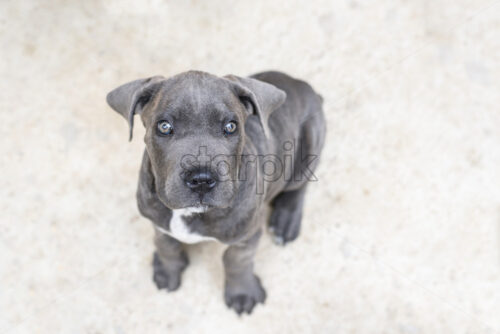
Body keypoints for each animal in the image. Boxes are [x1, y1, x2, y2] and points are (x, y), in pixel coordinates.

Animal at [106, 70, 326, 316]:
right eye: (164, 126)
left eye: (231, 127)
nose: (201, 179)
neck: (191, 213)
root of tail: (301, 84)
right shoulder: (156, 220)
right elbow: (166, 243)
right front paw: (168, 269)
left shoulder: (248, 234)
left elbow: (236, 261)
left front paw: (242, 293)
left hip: (310, 142)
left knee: (300, 185)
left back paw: (285, 222)